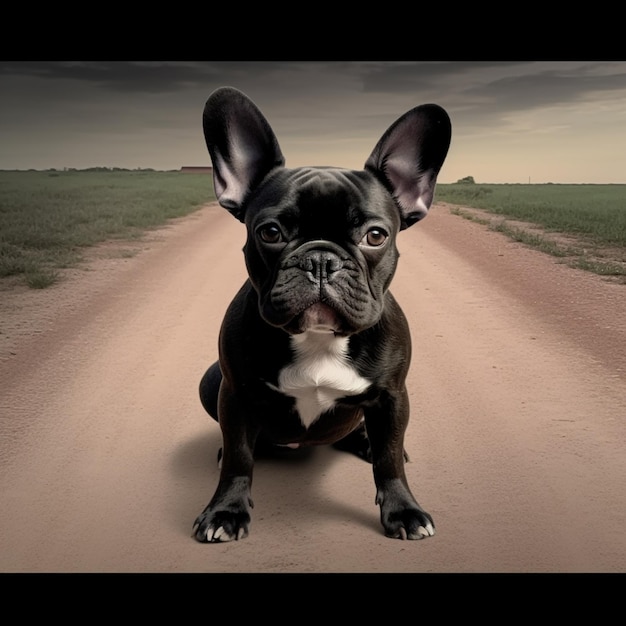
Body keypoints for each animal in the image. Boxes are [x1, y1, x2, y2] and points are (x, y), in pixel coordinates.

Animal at [194, 86, 448, 540]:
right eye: (270, 232)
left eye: (375, 235)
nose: (320, 260)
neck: (318, 339)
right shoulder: (234, 393)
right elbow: (240, 458)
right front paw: (225, 511)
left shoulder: (393, 397)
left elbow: (390, 459)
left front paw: (403, 510)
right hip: (211, 381)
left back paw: (364, 441)